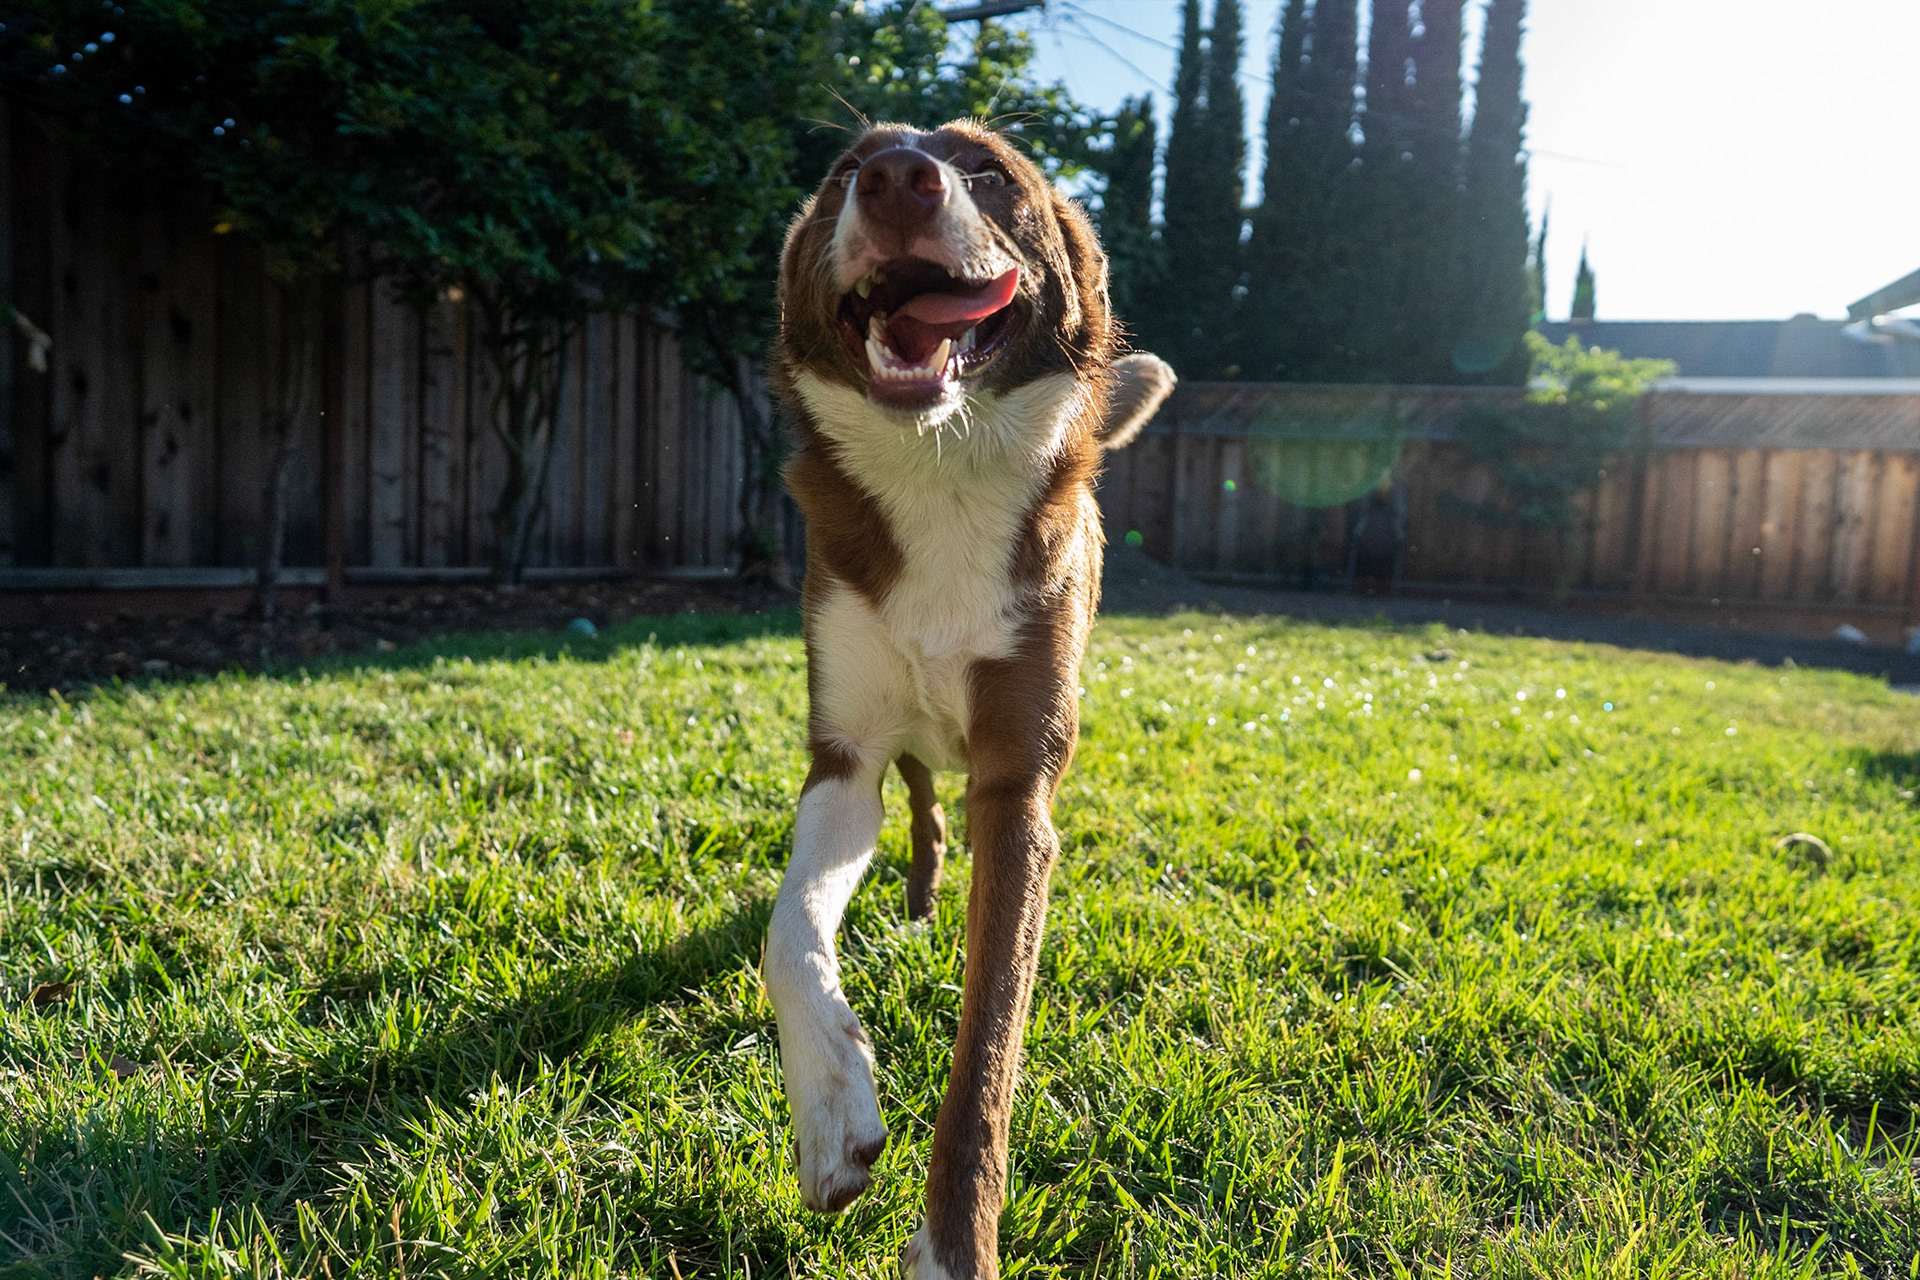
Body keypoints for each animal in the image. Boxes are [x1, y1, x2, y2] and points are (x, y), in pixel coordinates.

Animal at [765, 119, 1175, 1279]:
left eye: (988, 172)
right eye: (841, 172)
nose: (897, 179)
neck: (937, 467)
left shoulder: (1019, 793)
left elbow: (986, 1050)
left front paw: (954, 1245)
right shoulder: (841, 757)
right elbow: (787, 932)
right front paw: (831, 1116)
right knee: (918, 798)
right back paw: (914, 895)